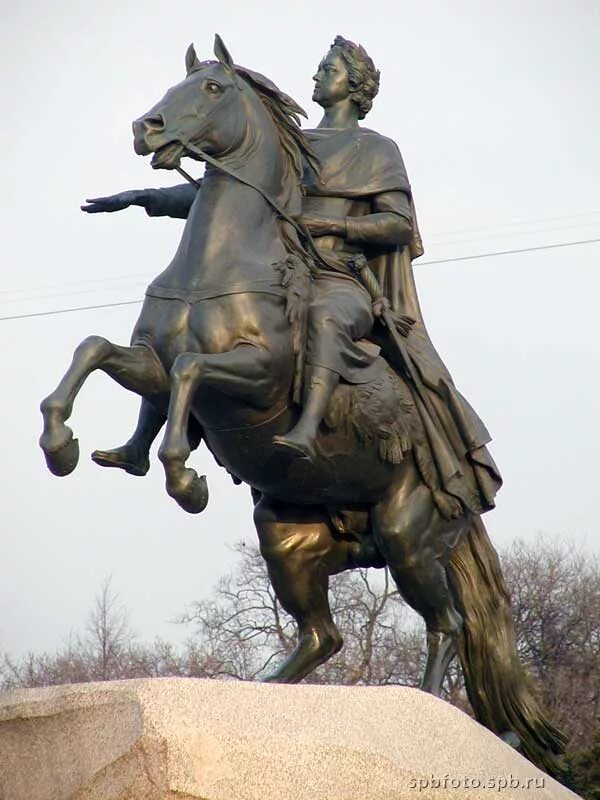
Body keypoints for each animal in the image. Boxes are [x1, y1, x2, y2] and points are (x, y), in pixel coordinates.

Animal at [39, 37, 564, 776]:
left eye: (213, 89)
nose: (148, 128)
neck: (221, 267)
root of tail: (470, 487)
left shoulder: (254, 376)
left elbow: (191, 374)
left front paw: (185, 477)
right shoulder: (148, 363)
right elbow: (95, 351)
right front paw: (66, 446)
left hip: (408, 537)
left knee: (447, 625)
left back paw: (427, 706)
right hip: (289, 541)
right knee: (323, 636)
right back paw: (259, 690)